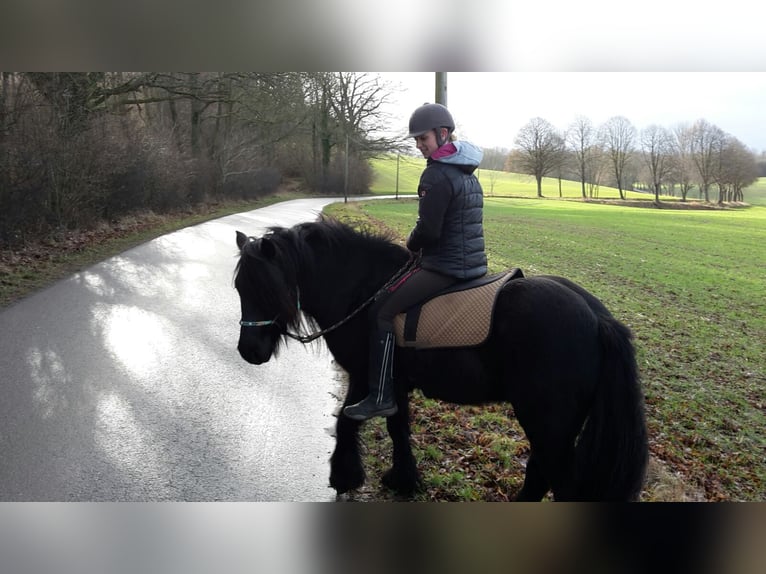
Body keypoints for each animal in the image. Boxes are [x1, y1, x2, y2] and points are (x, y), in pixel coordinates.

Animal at [234, 217, 649, 501]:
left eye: (267, 289)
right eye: (239, 286)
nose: (248, 351)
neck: (363, 290)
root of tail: (599, 318)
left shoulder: (366, 378)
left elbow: (346, 423)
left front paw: (344, 477)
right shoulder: (392, 386)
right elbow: (397, 428)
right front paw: (403, 480)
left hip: (548, 422)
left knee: (557, 481)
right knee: (539, 475)